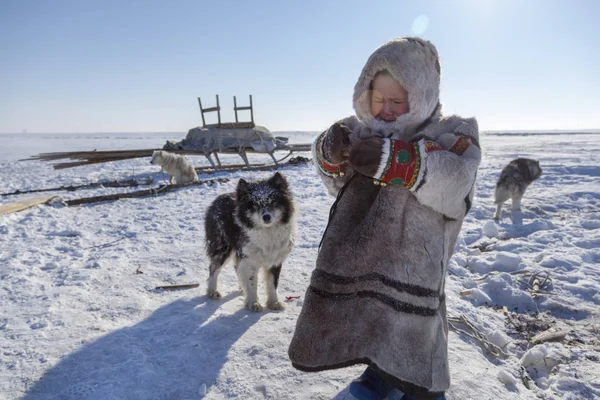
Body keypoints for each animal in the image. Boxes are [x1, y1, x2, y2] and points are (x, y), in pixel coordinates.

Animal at [204, 172, 296, 312]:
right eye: (254, 205)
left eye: (273, 202)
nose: (266, 217)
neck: (267, 231)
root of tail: (216, 200)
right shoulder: (250, 260)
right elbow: (252, 283)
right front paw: (254, 303)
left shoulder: (275, 261)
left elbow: (272, 284)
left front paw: (274, 303)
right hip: (223, 247)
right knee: (213, 268)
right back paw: (212, 291)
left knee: (236, 268)